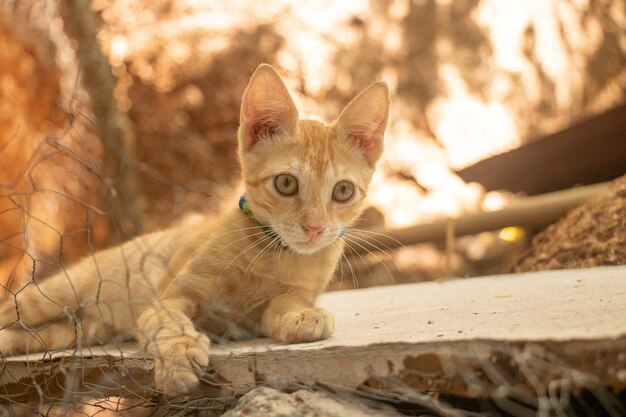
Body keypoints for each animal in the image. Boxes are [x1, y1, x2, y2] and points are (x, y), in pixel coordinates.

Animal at [0, 63, 388, 394]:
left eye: (343, 191)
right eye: (286, 184)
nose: (314, 228)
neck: (273, 254)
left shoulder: (286, 297)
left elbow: (283, 305)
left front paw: (303, 317)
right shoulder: (167, 299)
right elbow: (166, 322)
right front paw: (178, 358)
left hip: (71, 332)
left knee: (27, 335)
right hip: (53, 296)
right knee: (11, 310)